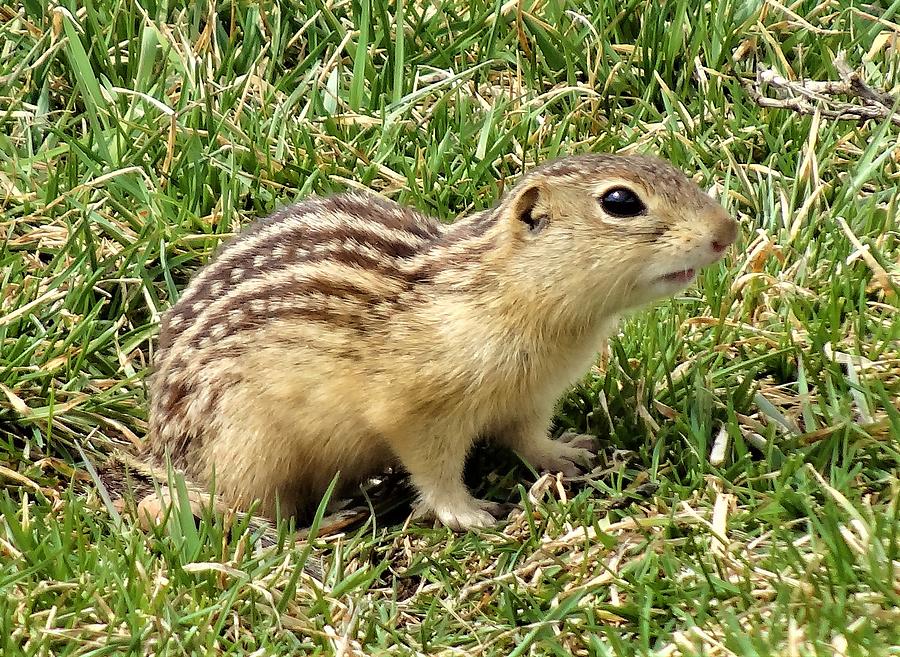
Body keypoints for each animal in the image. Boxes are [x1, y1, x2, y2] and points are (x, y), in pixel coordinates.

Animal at [139, 155, 732, 532]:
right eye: (620, 200)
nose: (727, 232)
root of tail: (166, 449)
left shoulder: (531, 397)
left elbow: (528, 436)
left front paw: (567, 454)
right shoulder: (416, 411)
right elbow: (435, 468)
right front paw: (468, 513)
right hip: (250, 449)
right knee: (239, 509)